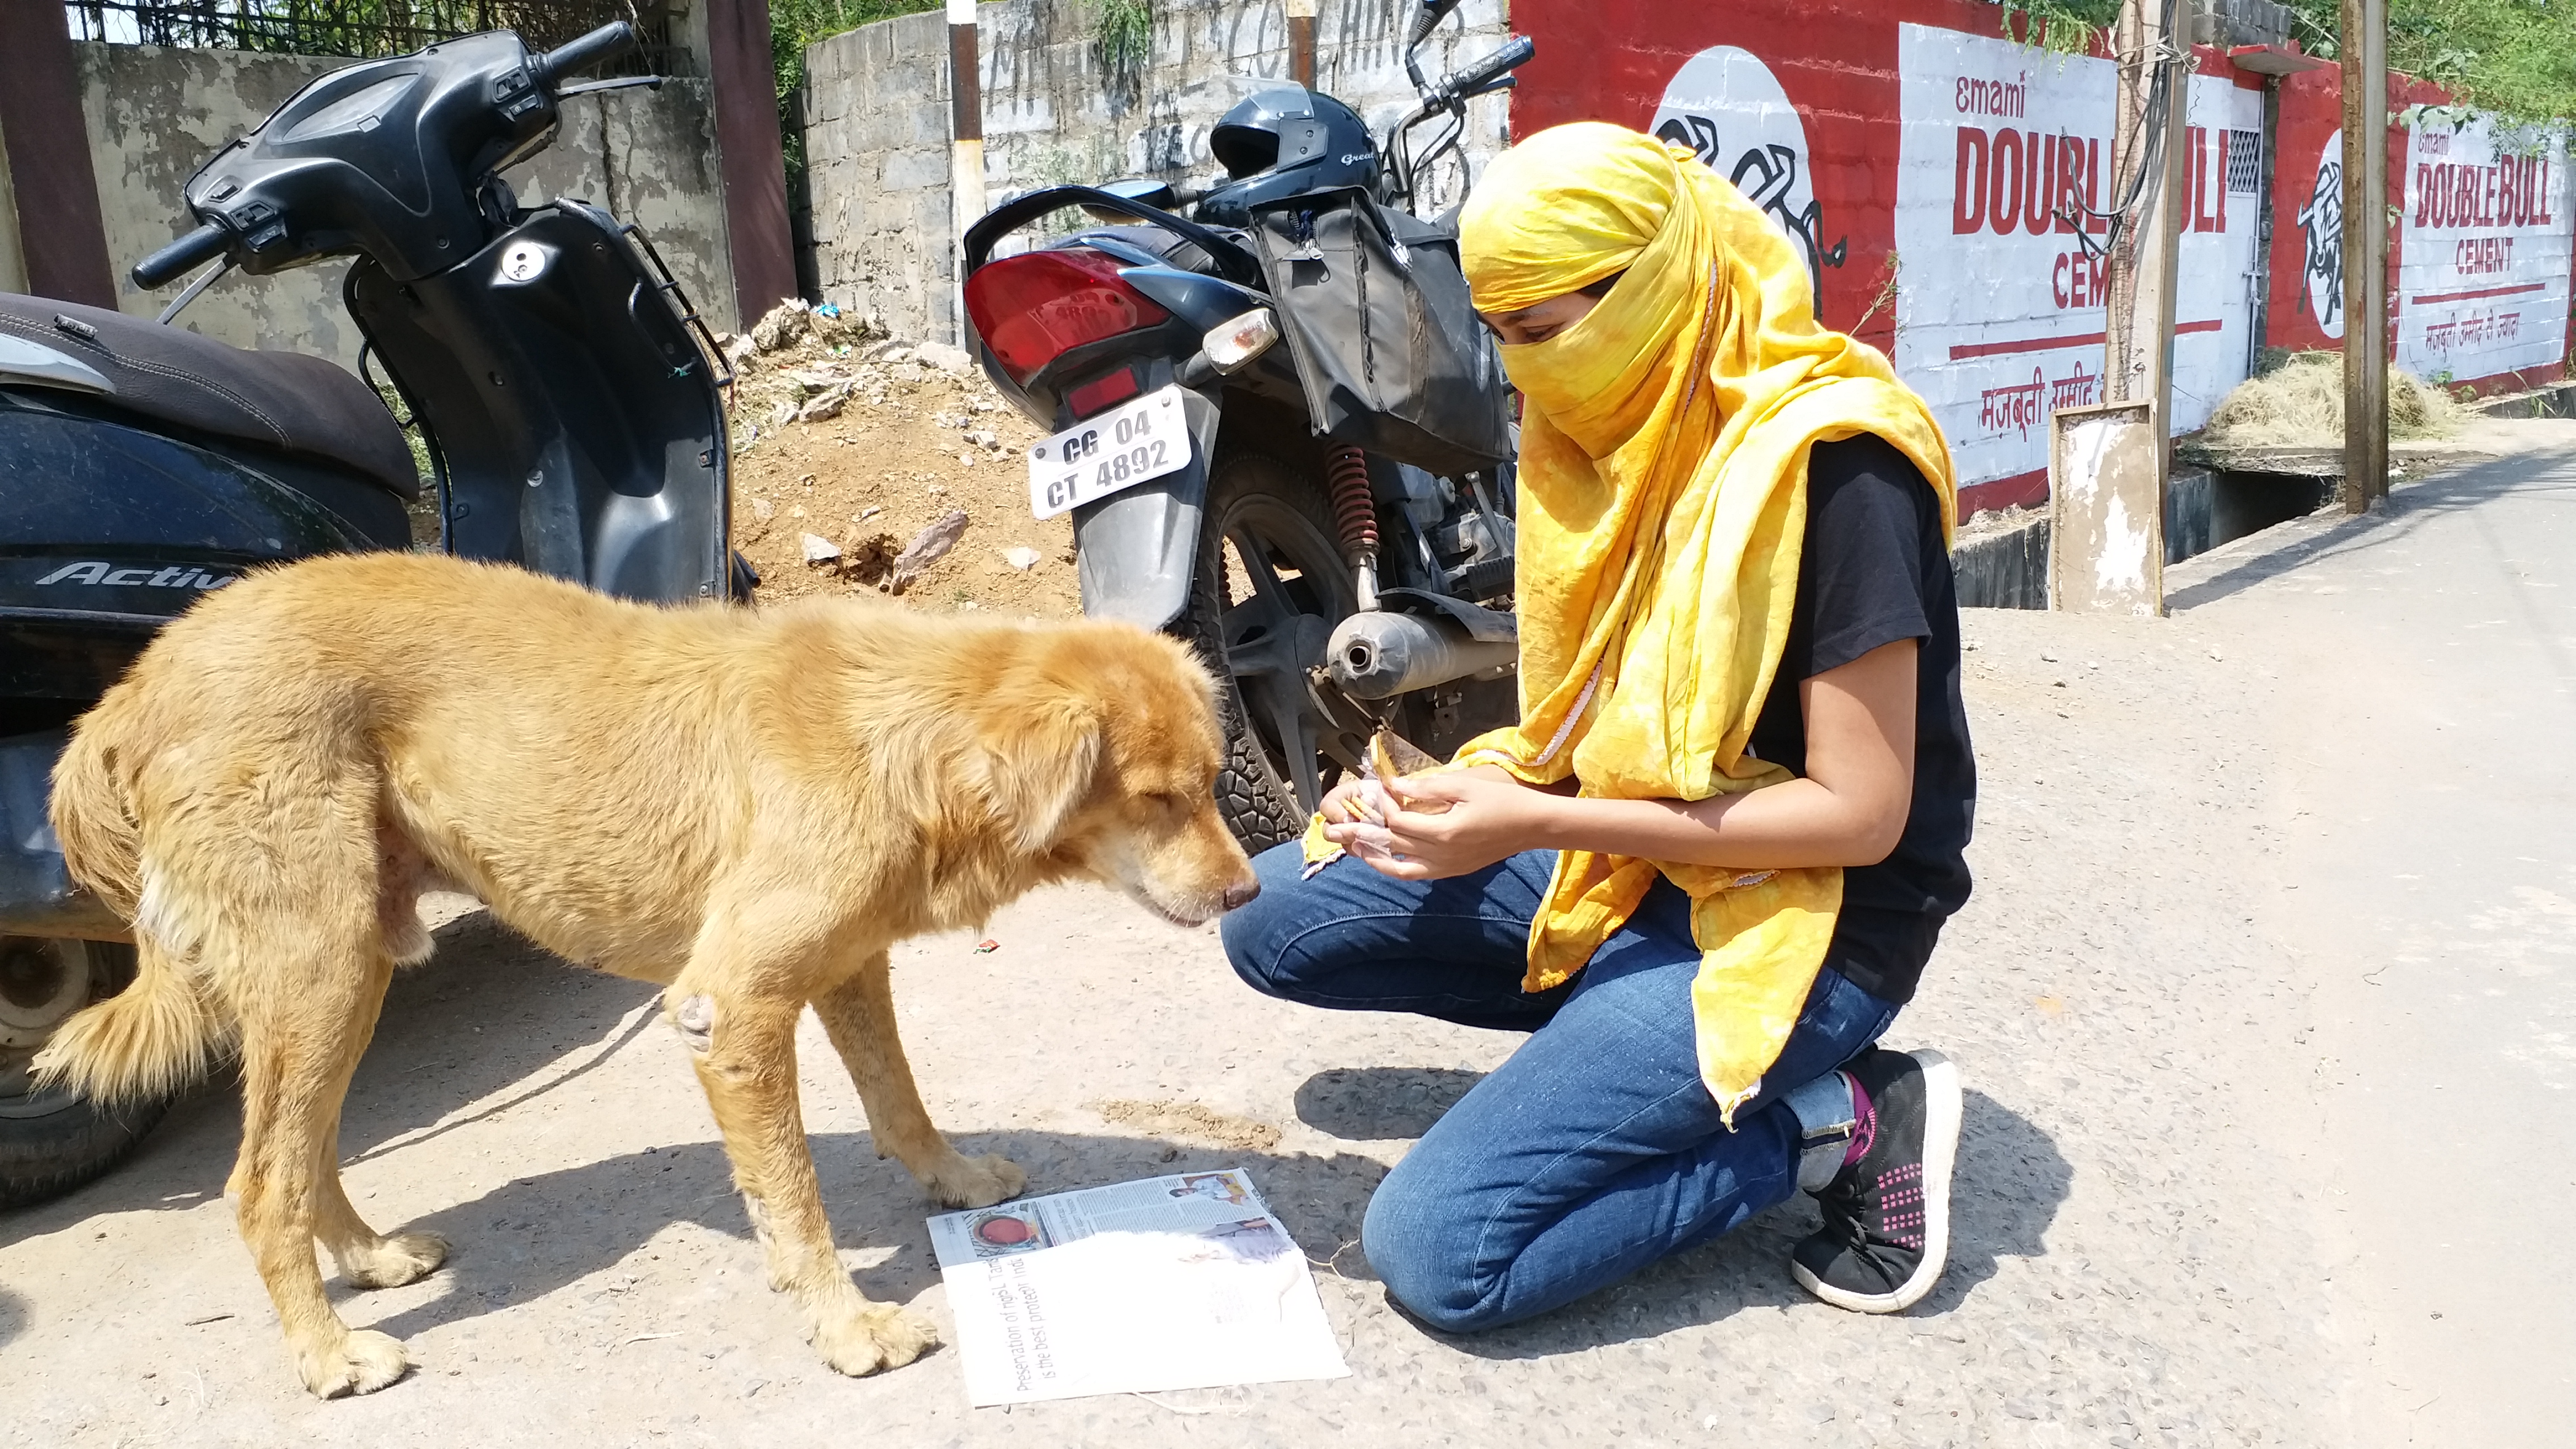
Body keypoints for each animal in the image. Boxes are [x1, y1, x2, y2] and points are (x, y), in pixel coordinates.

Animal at [27, 549, 1257, 1392]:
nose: (1249, 894)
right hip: (317, 967)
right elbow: (793, 1199)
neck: (903, 734)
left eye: (1210, 782)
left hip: (349, 968)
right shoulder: (731, 1007)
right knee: (257, 1183)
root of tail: (136, 684)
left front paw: (949, 1178)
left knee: (304, 1148)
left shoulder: (849, 965)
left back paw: (372, 1259)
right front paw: (847, 1326)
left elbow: (899, 1100)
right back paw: (330, 1355)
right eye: (1159, 799)